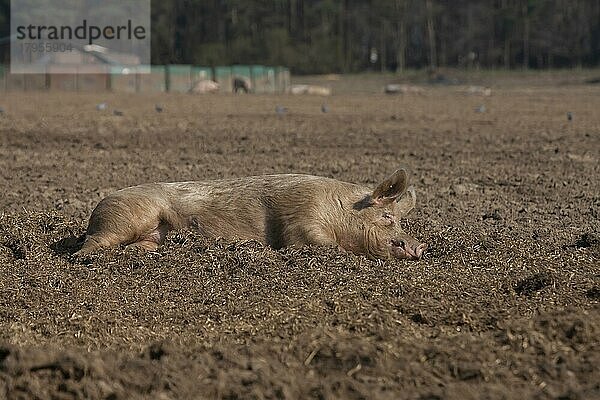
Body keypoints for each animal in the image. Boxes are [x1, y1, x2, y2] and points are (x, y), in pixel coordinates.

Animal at [76, 168, 426, 260]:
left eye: (402, 220)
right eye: (387, 218)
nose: (421, 246)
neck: (340, 210)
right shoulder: (301, 219)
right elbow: (316, 241)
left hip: (152, 232)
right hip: (127, 216)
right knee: (92, 242)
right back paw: (85, 258)